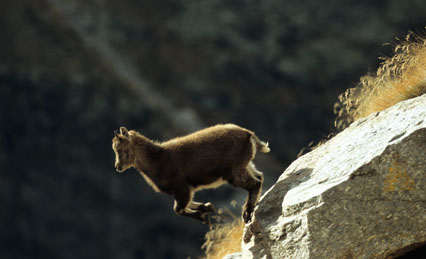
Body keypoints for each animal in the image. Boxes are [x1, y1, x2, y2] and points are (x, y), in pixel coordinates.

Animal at [111, 125, 268, 224]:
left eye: (121, 150)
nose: (118, 167)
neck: (157, 159)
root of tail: (248, 134)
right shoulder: (183, 190)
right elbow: (185, 204)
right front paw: (207, 207)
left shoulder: (182, 188)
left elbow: (177, 209)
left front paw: (203, 216)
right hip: (245, 165)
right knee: (259, 176)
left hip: (233, 172)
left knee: (255, 183)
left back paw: (247, 213)